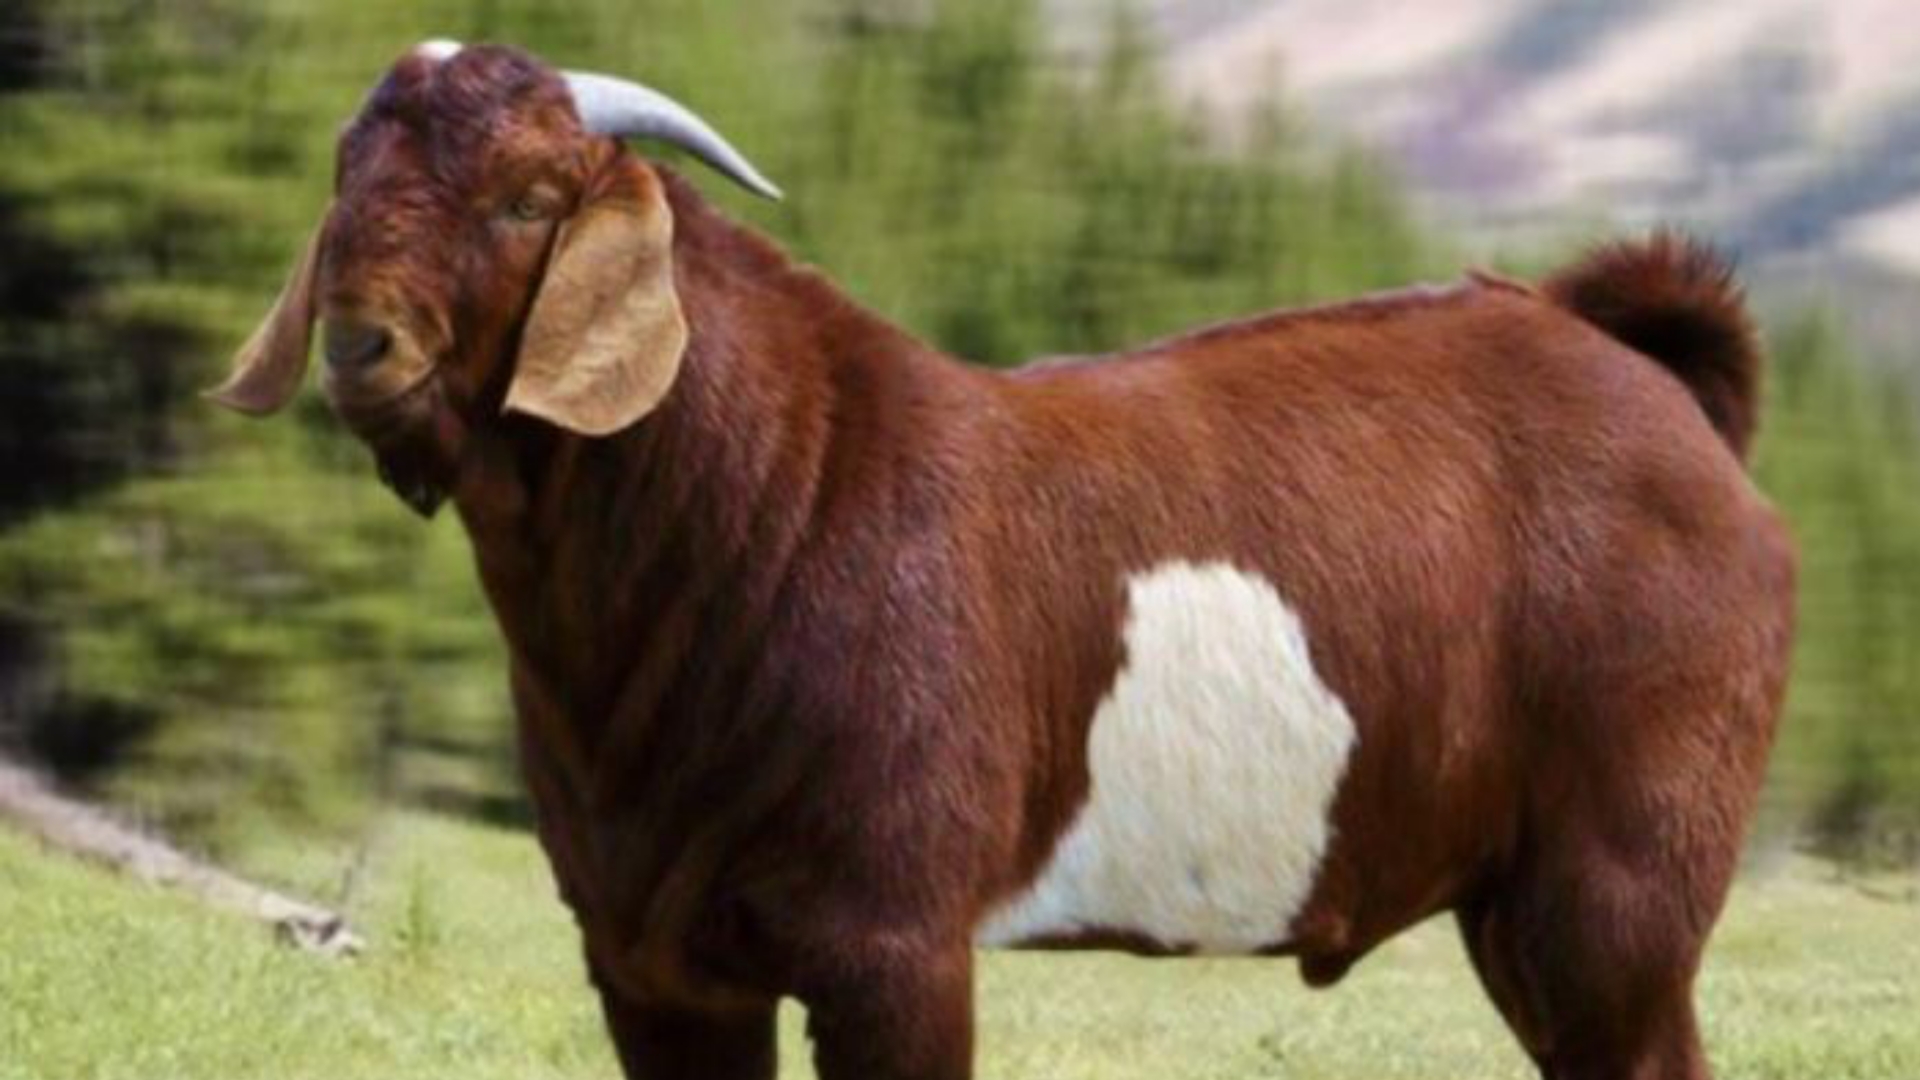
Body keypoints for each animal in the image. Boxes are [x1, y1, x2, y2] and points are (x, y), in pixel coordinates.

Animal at [212, 41, 1796, 1080]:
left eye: (532, 199)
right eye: (346, 174)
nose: (360, 345)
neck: (765, 499)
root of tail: (1663, 394)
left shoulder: (893, 943)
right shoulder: (649, 958)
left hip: (1623, 884)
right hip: (1516, 901)